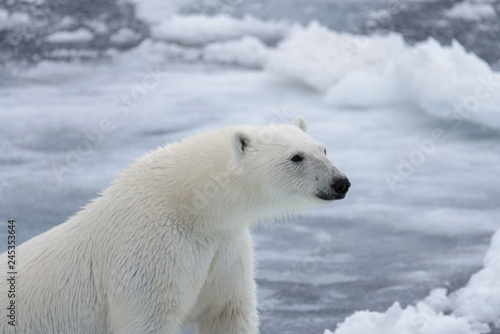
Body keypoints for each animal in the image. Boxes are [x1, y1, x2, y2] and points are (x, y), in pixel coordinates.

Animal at [0, 115, 350, 334]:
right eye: (296, 157)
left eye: (323, 148)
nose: (341, 182)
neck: (191, 205)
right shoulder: (148, 251)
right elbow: (147, 318)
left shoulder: (224, 247)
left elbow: (227, 312)